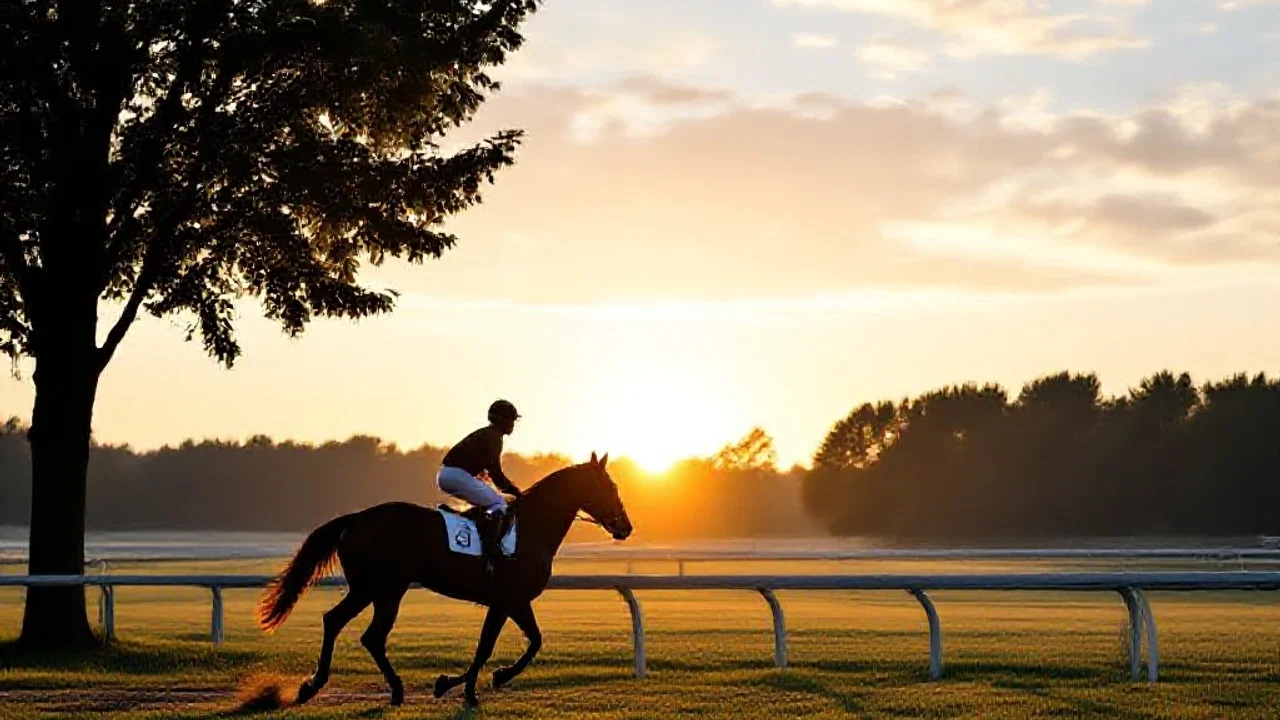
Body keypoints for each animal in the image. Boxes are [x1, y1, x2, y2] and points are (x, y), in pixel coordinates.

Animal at [254, 452, 632, 707]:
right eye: (609, 486)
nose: (626, 527)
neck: (530, 530)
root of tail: (356, 518)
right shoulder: (507, 600)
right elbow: (492, 647)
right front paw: (471, 686)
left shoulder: (514, 601)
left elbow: (529, 641)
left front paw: (462, 682)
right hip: (383, 588)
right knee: (367, 634)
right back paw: (386, 688)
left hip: (373, 589)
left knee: (341, 623)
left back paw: (317, 686)